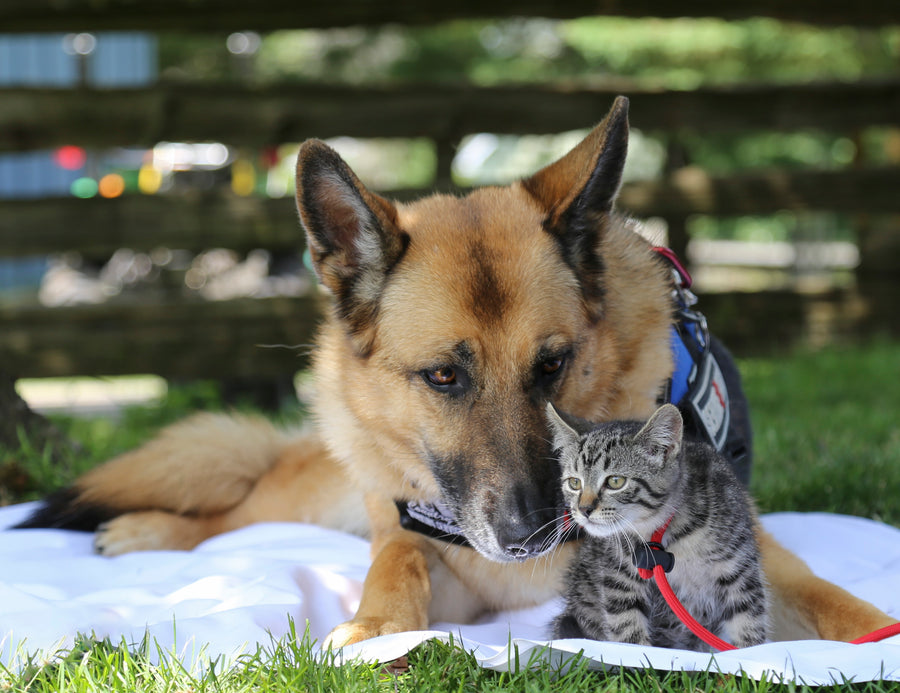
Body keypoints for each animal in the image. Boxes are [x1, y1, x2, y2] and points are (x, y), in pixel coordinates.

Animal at [548, 400, 768, 648]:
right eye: (574, 483)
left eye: (615, 481)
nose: (584, 509)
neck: (668, 533)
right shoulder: (619, 574)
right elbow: (627, 626)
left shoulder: (738, 565)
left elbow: (748, 620)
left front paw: (748, 652)